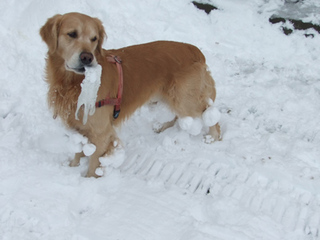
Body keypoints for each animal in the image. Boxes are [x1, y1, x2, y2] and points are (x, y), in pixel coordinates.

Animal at [39, 12, 220, 178]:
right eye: (72, 34)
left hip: (184, 99)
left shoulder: (101, 132)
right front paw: (72, 167)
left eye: (94, 38)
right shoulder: (79, 126)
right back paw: (162, 126)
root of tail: (195, 50)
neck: (73, 83)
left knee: (207, 112)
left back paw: (213, 137)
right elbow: (78, 151)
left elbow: (94, 162)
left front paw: (89, 180)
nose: (87, 58)